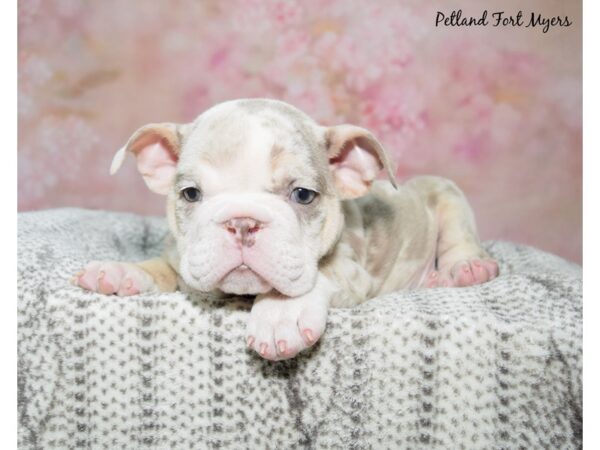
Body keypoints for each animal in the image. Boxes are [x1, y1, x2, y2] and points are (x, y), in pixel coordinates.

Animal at [72, 99, 500, 362]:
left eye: (303, 195)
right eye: (190, 193)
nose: (242, 221)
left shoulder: (348, 270)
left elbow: (314, 276)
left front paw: (281, 314)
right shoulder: (183, 258)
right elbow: (162, 267)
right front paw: (123, 272)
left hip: (445, 193)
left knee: (460, 234)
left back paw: (465, 268)